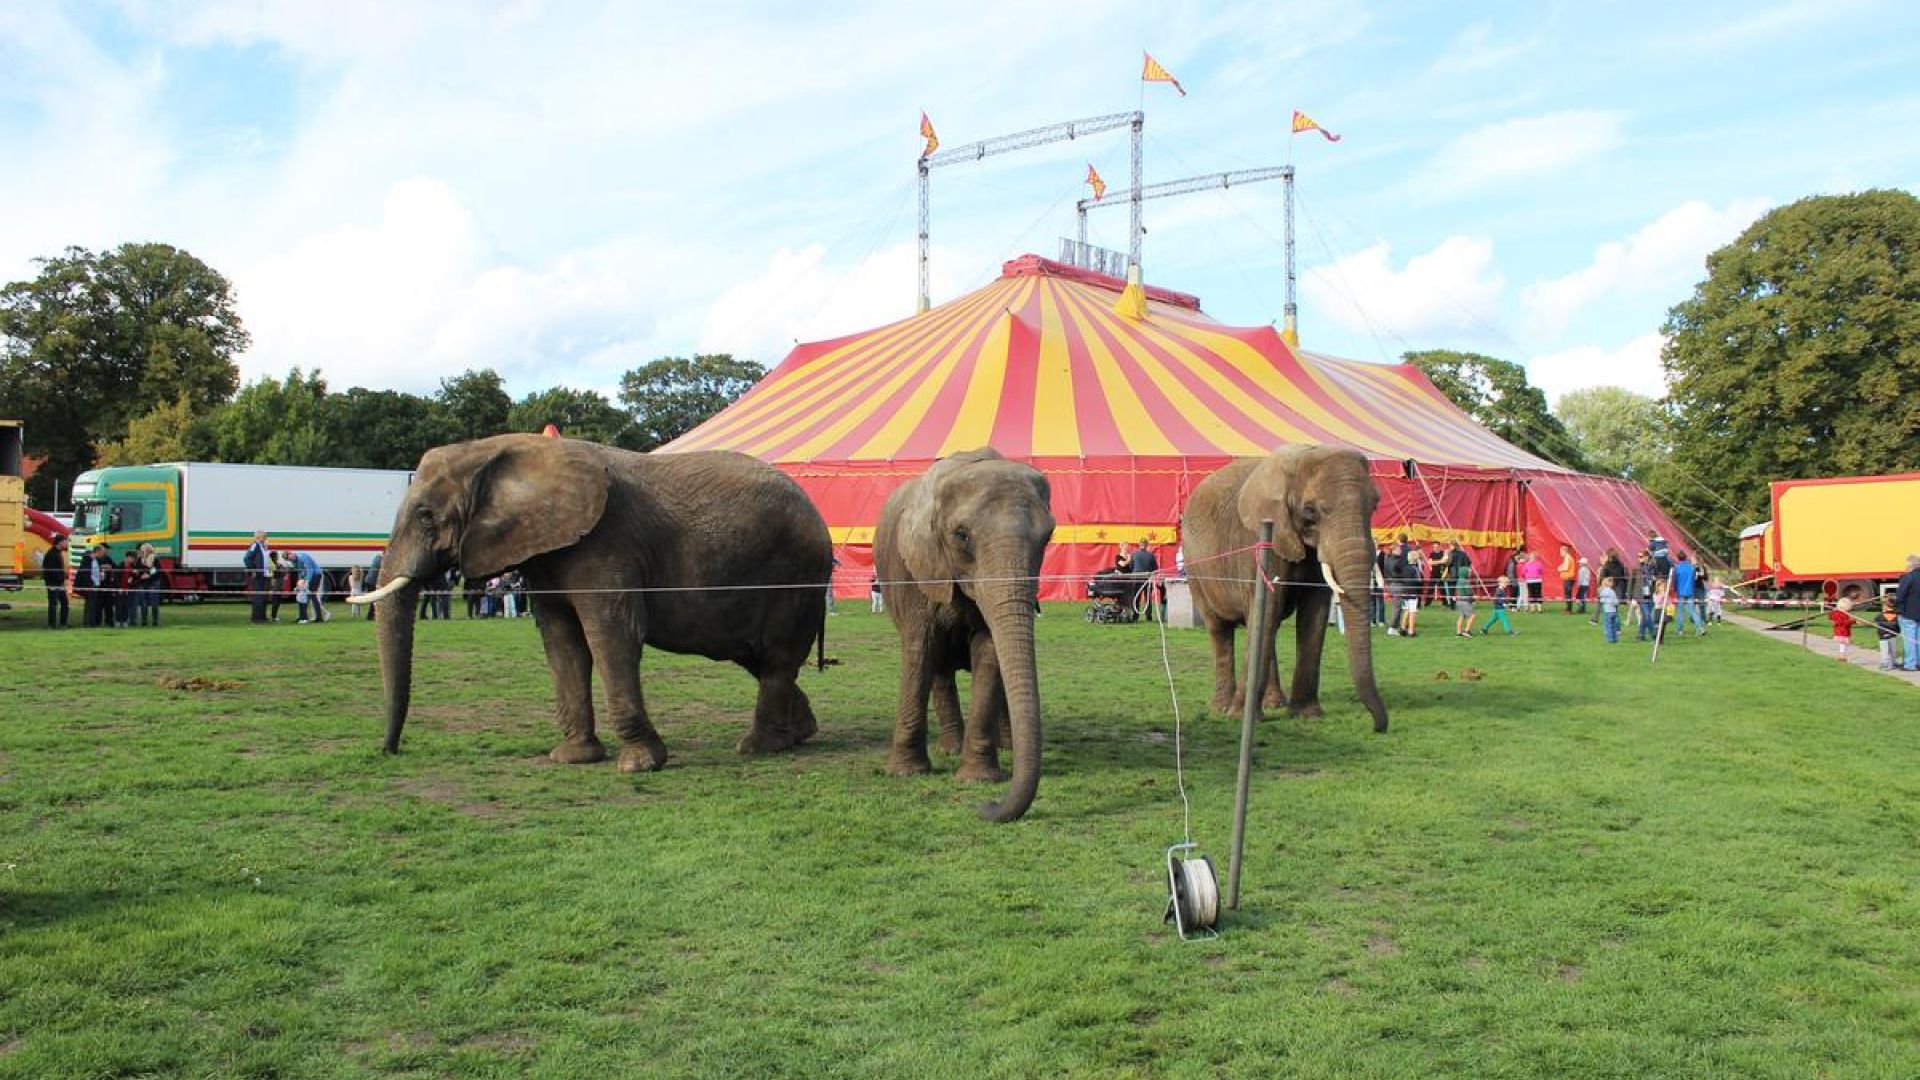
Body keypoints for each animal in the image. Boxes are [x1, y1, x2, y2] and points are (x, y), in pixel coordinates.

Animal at [353, 432, 833, 768]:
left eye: (425, 516)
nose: (390, 751)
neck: (501, 449)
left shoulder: (606, 543)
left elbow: (611, 635)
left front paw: (640, 765)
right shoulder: (545, 554)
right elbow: (563, 642)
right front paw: (573, 758)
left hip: (797, 575)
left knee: (775, 658)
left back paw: (759, 747)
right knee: (757, 658)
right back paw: (799, 734)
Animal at [879, 443, 1059, 814]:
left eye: (1048, 536)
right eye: (961, 535)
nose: (986, 807)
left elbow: (990, 652)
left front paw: (978, 780)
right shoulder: (913, 569)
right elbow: (920, 649)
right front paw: (905, 773)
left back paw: (1005, 748)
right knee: (938, 669)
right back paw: (949, 749)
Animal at [1175, 440, 1390, 730]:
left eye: (1375, 506)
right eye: (1310, 510)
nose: (1378, 727)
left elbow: (1314, 612)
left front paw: (1308, 715)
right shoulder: (1260, 538)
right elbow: (1266, 606)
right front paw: (1239, 717)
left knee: (1267, 626)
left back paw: (1274, 704)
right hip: (1196, 568)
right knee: (1220, 628)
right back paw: (1221, 708)